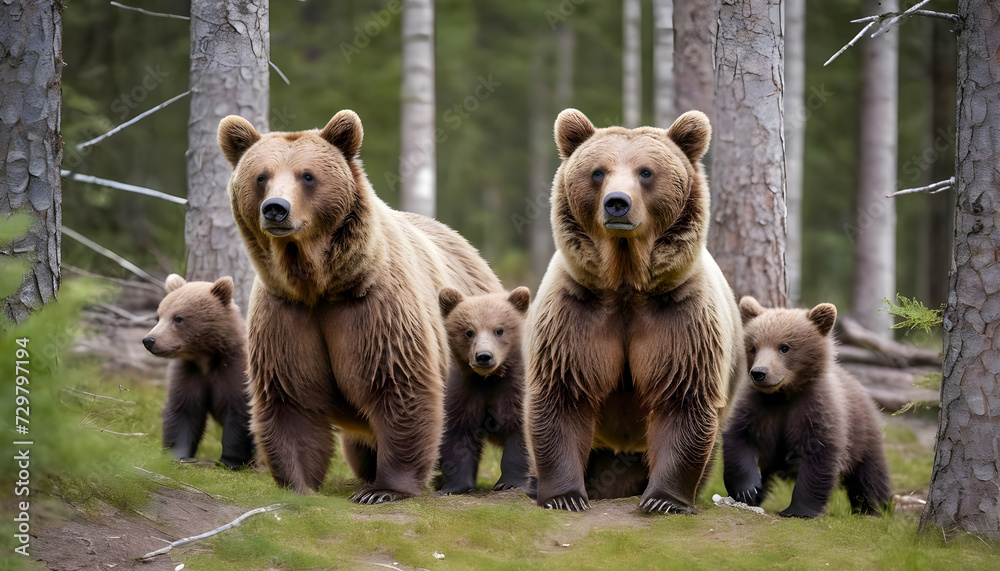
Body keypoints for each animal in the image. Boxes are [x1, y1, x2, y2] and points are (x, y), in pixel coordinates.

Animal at [141, 274, 255, 469]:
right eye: (159, 316)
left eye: (178, 318)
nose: (149, 340)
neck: (207, 358)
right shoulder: (190, 373)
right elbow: (183, 410)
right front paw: (179, 454)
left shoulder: (235, 372)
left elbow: (239, 411)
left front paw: (230, 460)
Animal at [216, 110, 503, 501]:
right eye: (261, 176)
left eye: (307, 175)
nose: (276, 208)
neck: (320, 285)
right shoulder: (286, 313)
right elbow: (291, 397)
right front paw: (299, 484)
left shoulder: (375, 308)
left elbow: (399, 385)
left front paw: (384, 489)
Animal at [436, 286, 532, 494]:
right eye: (469, 332)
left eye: (499, 330)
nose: (484, 356)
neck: (489, 379)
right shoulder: (466, 393)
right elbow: (458, 436)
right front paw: (454, 486)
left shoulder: (515, 391)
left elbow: (520, 433)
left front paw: (509, 482)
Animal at [524, 108, 744, 514]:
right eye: (598, 171)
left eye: (646, 171)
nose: (617, 203)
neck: (625, 281)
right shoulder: (576, 308)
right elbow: (563, 392)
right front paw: (565, 496)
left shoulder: (679, 312)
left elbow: (682, 397)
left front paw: (663, 500)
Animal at [722, 296, 893, 518]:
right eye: (753, 347)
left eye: (784, 347)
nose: (759, 373)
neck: (783, 395)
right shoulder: (756, 407)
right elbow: (739, 439)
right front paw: (748, 491)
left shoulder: (815, 408)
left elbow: (819, 455)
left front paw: (798, 509)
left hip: (863, 434)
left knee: (870, 475)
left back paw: (876, 508)